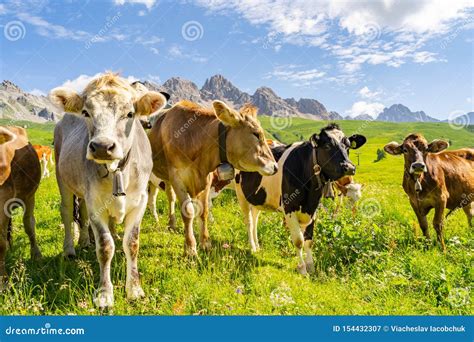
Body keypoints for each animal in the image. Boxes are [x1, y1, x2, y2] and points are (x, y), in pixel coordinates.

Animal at [148, 100, 278, 255]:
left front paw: (205, 243)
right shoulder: (177, 178)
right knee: (155, 198)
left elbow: (203, 211)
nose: (275, 167)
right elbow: (188, 212)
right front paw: (190, 247)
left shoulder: (206, 180)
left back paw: (173, 225)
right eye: (256, 134)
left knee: (171, 198)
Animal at [234, 124, 366, 274]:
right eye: (327, 146)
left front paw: (311, 267)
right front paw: (303, 269)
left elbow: (309, 240)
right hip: (241, 194)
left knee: (255, 218)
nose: (349, 167)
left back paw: (257, 246)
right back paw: (252, 248)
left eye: (348, 146)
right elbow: (298, 240)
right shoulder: (289, 208)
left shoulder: (312, 209)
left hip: (258, 197)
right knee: (249, 222)